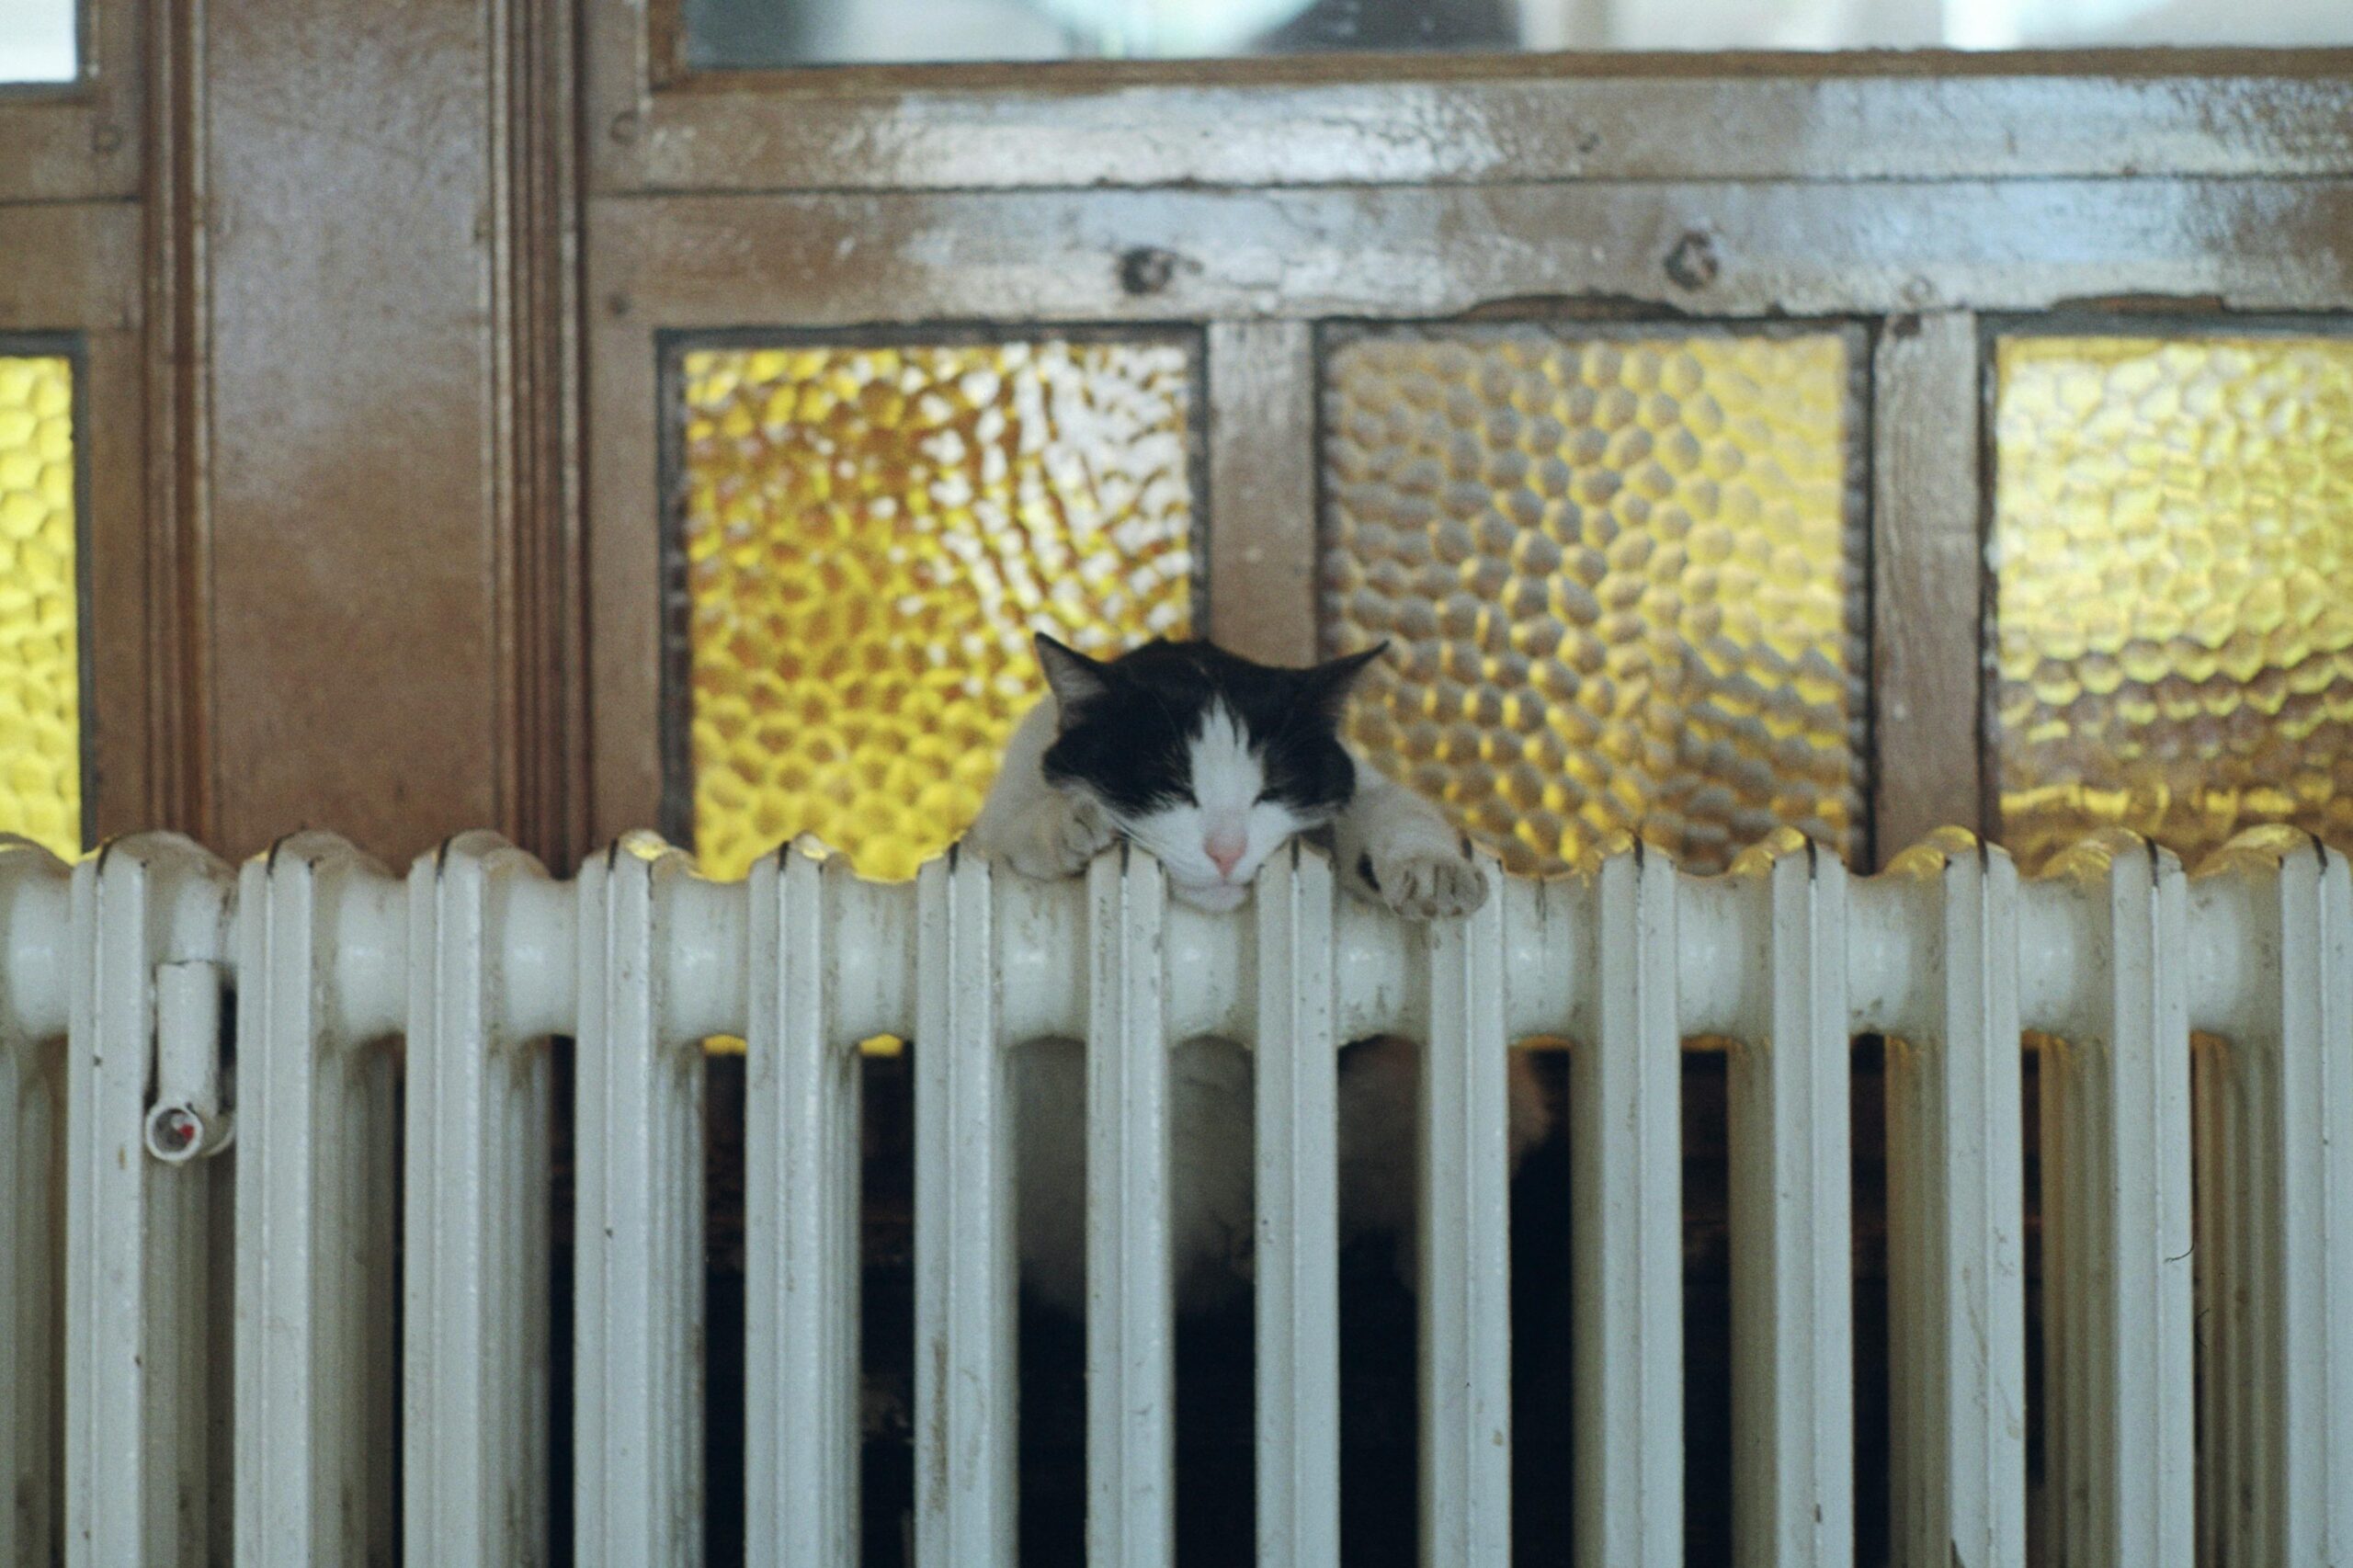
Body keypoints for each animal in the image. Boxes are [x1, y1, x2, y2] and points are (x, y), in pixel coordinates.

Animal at [964, 631, 1552, 1309]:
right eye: (1171, 783)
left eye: (1271, 788)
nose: (1226, 851)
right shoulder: (991, 839)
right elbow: (1013, 829)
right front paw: (1067, 821)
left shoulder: (1354, 779)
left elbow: (1395, 811)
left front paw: (1432, 867)